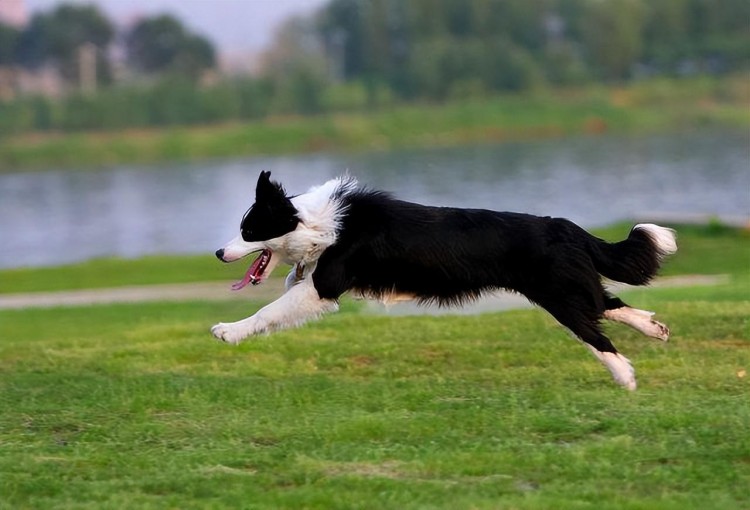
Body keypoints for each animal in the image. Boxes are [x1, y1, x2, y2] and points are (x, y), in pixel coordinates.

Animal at [214, 171, 680, 390]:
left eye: (248, 231)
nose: (218, 253)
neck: (315, 222)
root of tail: (565, 226)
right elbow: (287, 290)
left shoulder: (325, 285)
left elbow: (269, 310)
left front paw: (228, 331)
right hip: (567, 287)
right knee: (608, 304)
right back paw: (653, 328)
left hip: (559, 296)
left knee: (597, 332)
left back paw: (626, 378)